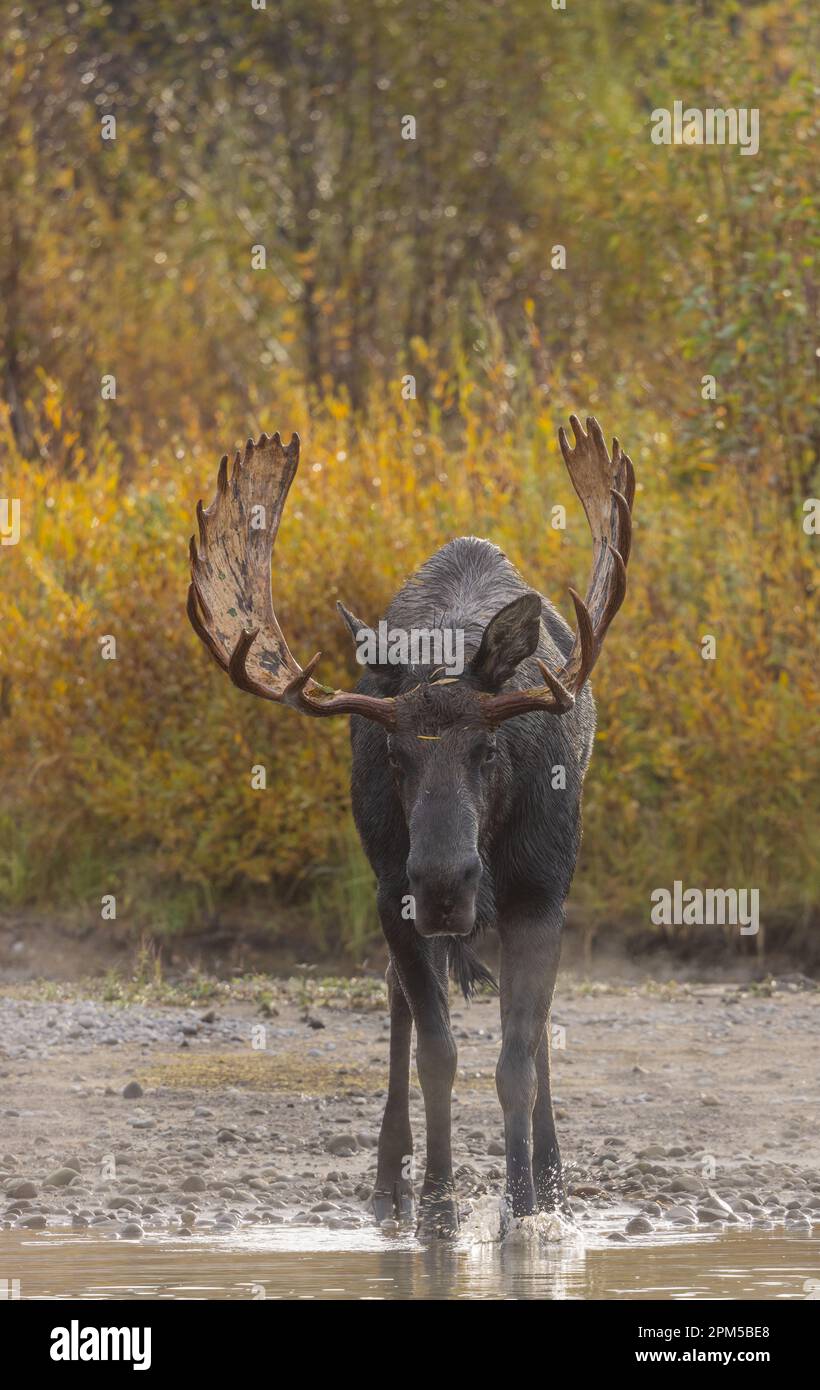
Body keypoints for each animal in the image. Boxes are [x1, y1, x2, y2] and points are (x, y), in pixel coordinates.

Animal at [187, 416, 635, 1236]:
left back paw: (553, 1180)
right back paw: (388, 1181)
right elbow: (438, 1054)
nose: (444, 882)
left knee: (534, 1031)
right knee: (399, 997)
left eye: (489, 748)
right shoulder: (390, 894)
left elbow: (517, 1058)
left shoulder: (541, 892)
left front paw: (523, 1209)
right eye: (393, 756)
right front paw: (437, 1205)